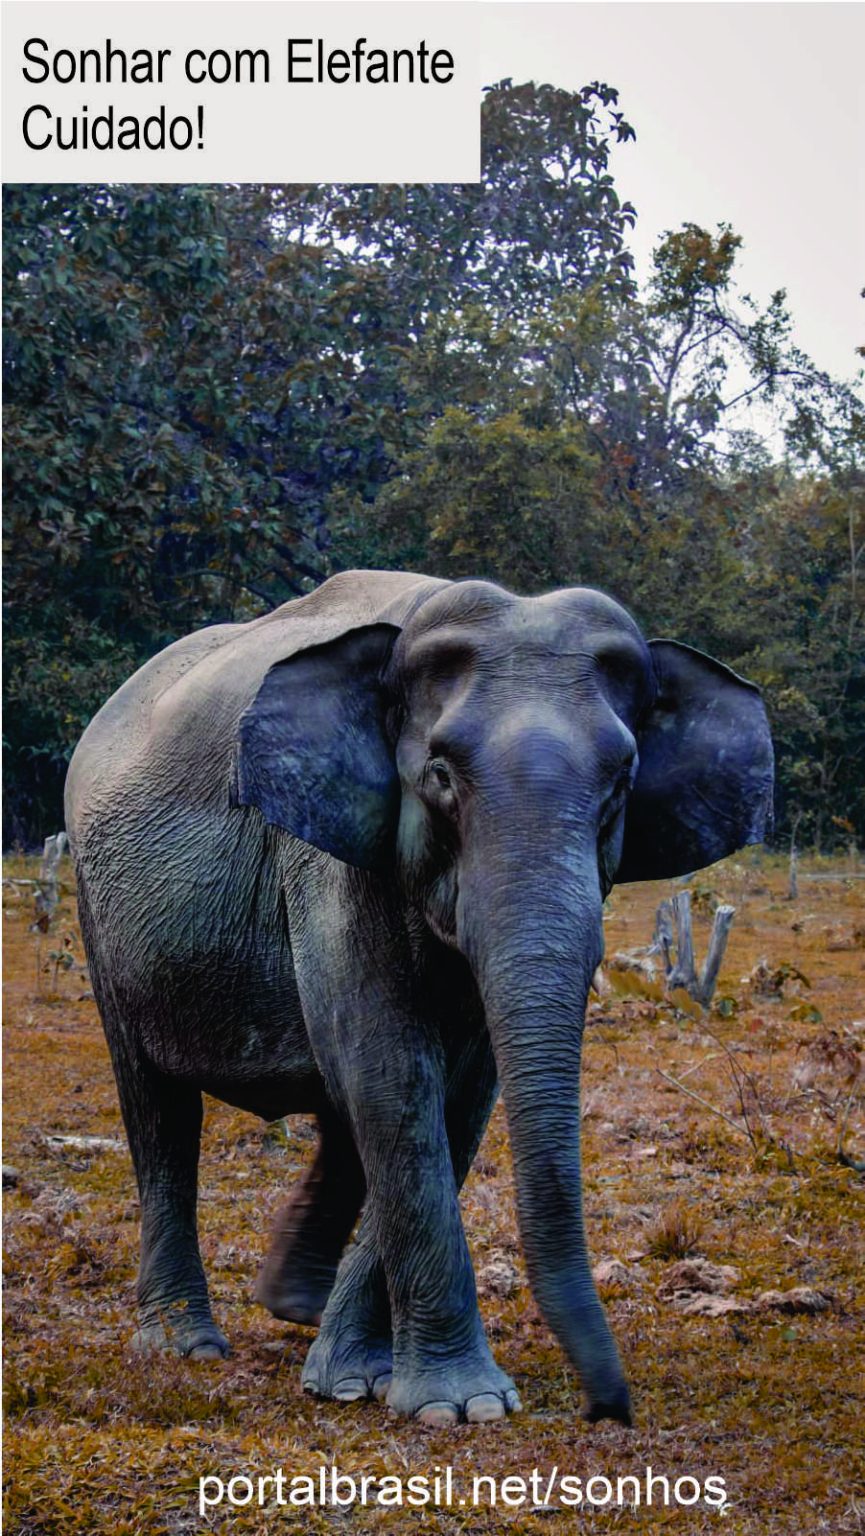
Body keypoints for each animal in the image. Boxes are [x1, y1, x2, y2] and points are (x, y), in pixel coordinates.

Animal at [64, 568, 773, 1426]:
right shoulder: (322, 859)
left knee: (337, 1112)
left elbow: (458, 1092)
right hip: (98, 913)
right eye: (439, 779)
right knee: (159, 1106)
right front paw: (459, 1407)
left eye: (619, 787)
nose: (608, 1409)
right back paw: (186, 1345)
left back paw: (296, 1306)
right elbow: (392, 1066)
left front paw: (357, 1382)